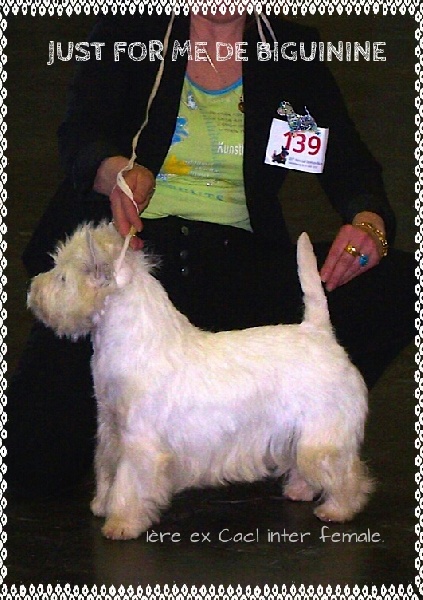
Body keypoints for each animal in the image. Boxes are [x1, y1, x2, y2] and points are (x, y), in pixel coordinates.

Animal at [28, 222, 373, 540]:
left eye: (62, 277)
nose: (32, 289)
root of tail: (318, 332)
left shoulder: (139, 440)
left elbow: (130, 481)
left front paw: (121, 523)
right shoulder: (111, 427)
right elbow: (107, 468)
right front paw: (102, 504)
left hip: (323, 431)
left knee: (344, 471)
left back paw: (338, 509)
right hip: (301, 431)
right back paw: (300, 490)